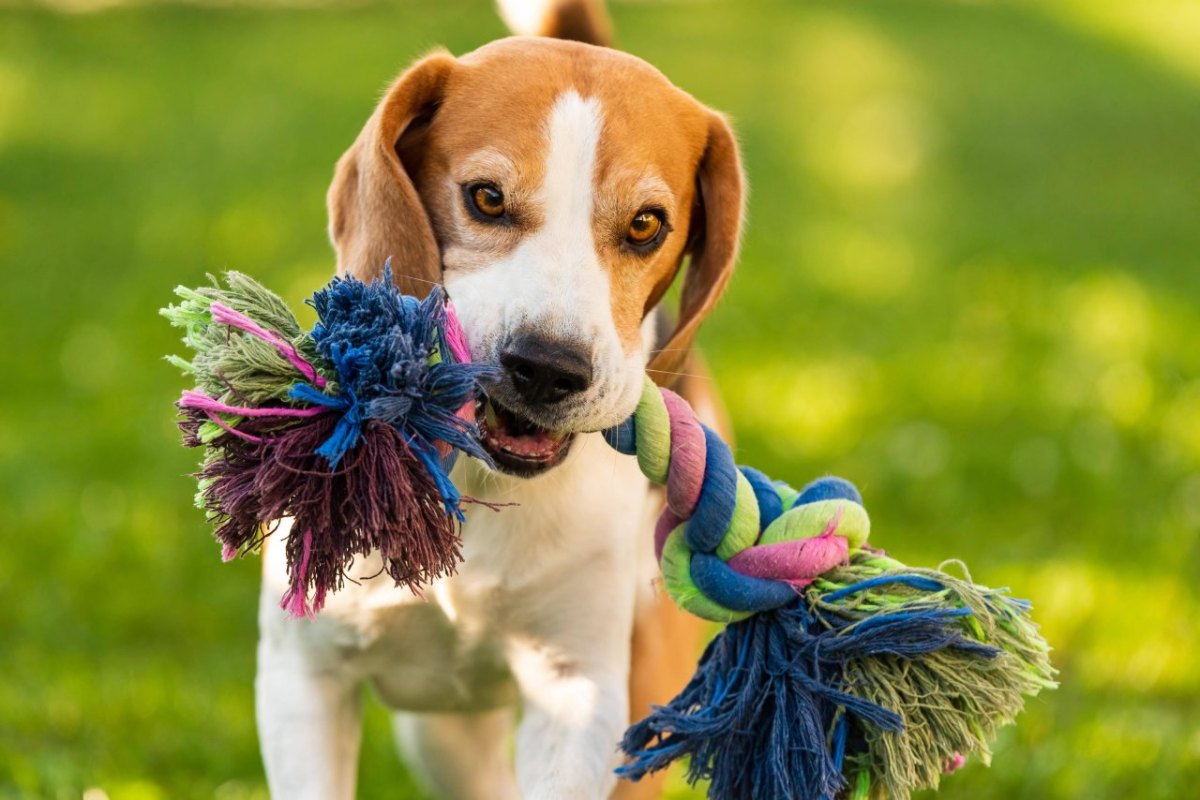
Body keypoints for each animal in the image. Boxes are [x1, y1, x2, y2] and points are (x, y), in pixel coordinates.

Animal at [253, 3, 739, 796]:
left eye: (646, 224)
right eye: (485, 197)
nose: (547, 368)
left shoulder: (578, 692)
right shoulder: (302, 676)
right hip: (439, 739)